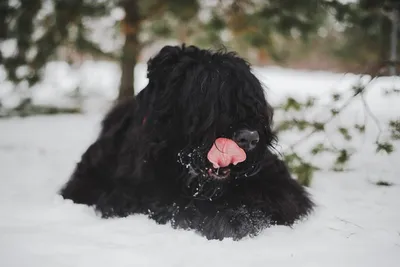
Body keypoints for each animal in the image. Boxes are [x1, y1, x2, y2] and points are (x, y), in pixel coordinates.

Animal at [61, 44, 314, 241]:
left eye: (254, 102)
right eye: (209, 98)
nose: (250, 137)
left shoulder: (281, 187)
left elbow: (271, 201)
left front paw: (238, 217)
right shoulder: (131, 195)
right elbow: (174, 207)